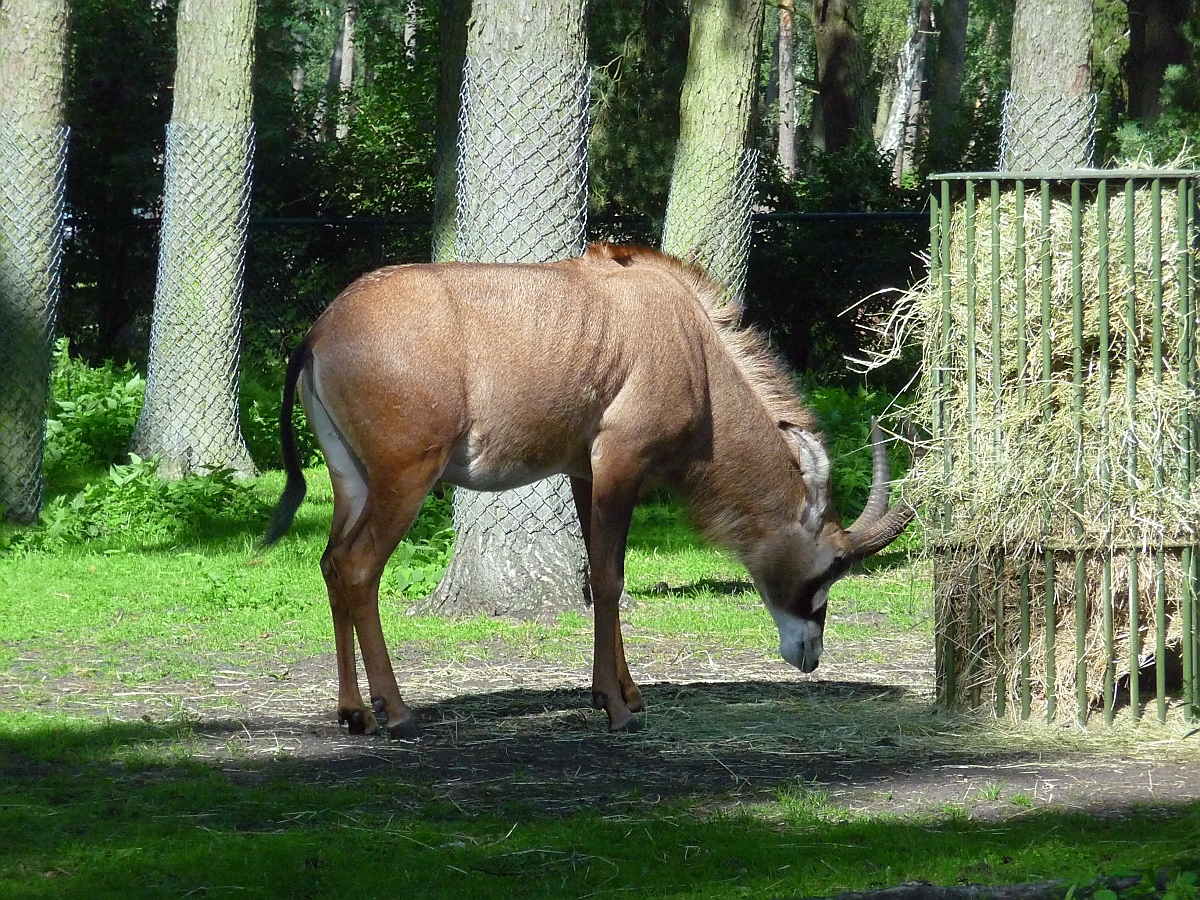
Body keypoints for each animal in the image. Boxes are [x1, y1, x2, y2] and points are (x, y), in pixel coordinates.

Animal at [262, 243, 912, 734]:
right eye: (830, 566)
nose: (810, 657)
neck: (692, 346)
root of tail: (320, 332)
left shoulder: (584, 469)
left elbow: (606, 572)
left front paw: (627, 691)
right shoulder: (620, 460)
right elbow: (608, 576)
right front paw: (614, 706)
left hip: (351, 480)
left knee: (330, 562)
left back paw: (353, 713)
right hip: (406, 476)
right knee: (358, 566)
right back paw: (394, 712)